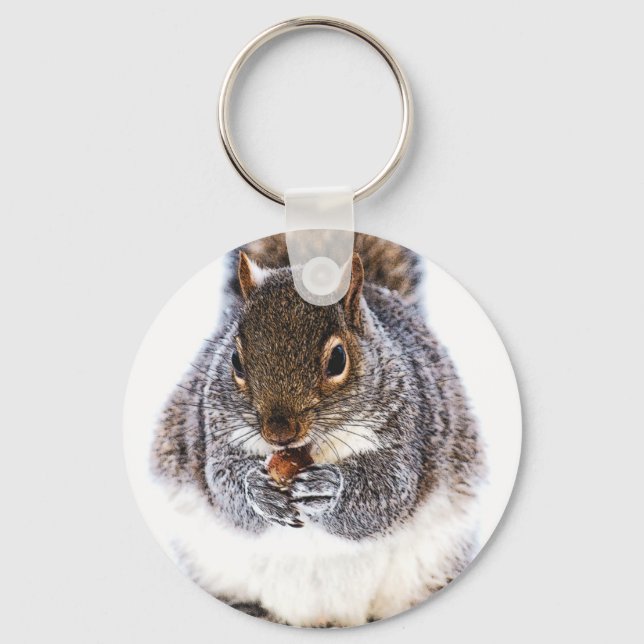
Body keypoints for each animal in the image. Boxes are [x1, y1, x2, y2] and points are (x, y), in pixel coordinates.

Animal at [152, 233, 486, 627]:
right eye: (235, 360)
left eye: (338, 359)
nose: (278, 433)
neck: (309, 448)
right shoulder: (214, 431)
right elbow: (224, 486)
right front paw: (256, 490)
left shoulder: (409, 432)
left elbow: (387, 494)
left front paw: (328, 489)